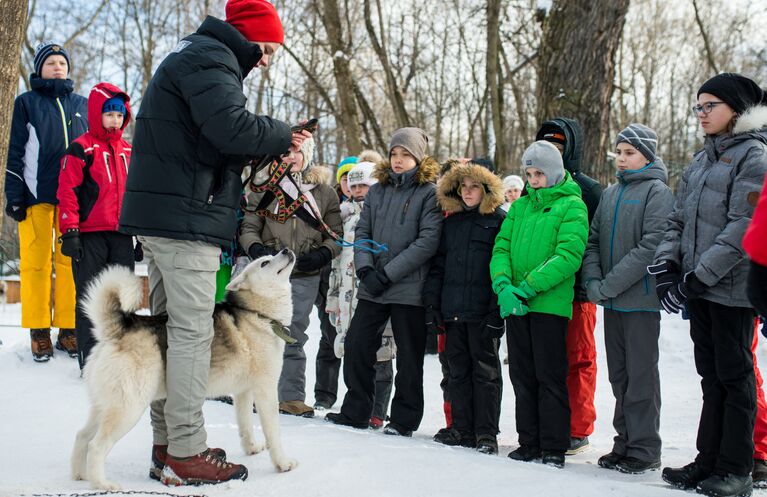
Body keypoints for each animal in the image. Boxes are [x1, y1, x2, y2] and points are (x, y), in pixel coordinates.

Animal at [72, 250, 298, 490]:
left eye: (269, 256)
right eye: (265, 262)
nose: (285, 250)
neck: (256, 313)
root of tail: (118, 329)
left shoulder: (243, 392)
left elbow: (245, 425)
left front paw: (251, 448)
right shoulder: (266, 390)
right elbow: (274, 433)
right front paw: (283, 463)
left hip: (104, 406)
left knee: (82, 436)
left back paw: (80, 475)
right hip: (128, 409)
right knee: (96, 446)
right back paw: (102, 484)